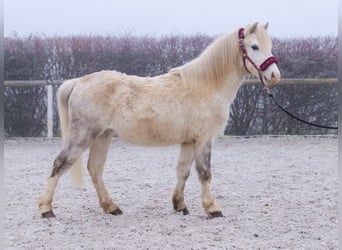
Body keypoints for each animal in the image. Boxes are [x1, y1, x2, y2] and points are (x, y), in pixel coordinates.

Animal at [39, 23, 280, 219]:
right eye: (254, 46)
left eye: (269, 45)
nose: (274, 76)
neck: (206, 85)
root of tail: (80, 81)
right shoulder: (203, 139)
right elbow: (205, 173)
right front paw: (212, 208)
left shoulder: (189, 141)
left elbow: (183, 171)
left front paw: (180, 205)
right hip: (83, 135)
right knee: (60, 164)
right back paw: (46, 209)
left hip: (102, 136)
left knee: (95, 169)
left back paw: (111, 207)